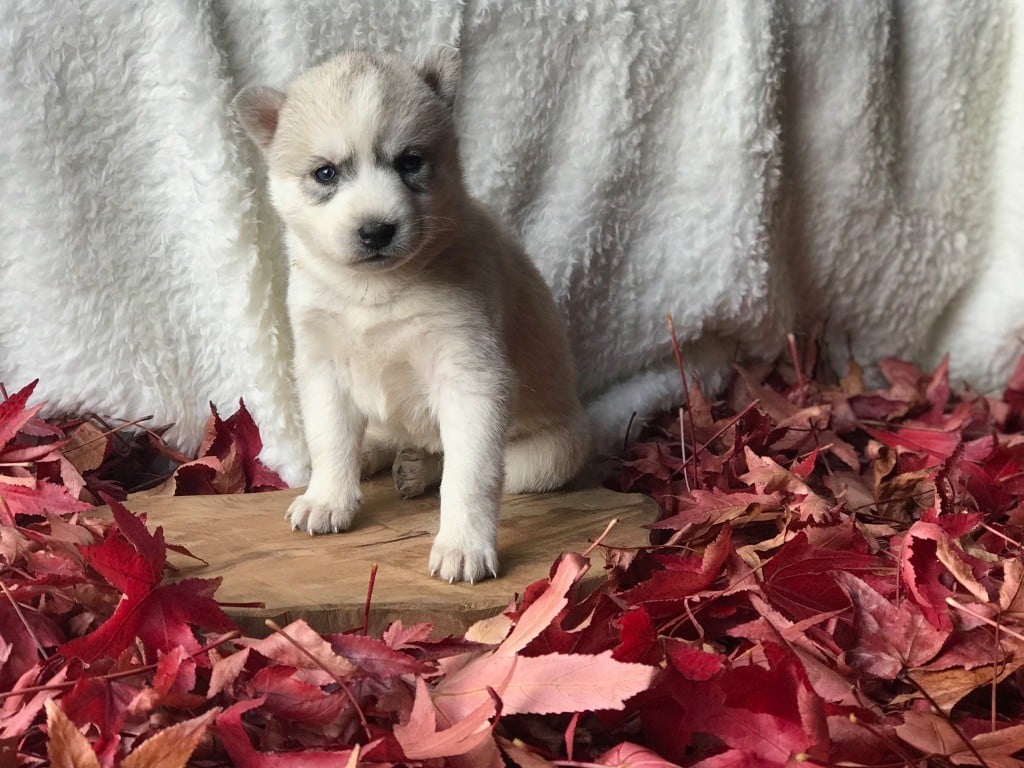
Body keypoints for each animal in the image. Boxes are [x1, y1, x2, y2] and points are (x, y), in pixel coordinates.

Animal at [234, 48, 589, 583]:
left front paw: (463, 545)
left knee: (463, 460)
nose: (376, 230)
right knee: (381, 437)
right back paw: (378, 456)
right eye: (325, 174)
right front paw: (327, 497)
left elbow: (469, 475)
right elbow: (330, 439)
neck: (373, 291)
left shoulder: (471, 376)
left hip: (549, 455)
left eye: (410, 161)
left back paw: (417, 468)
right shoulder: (322, 367)